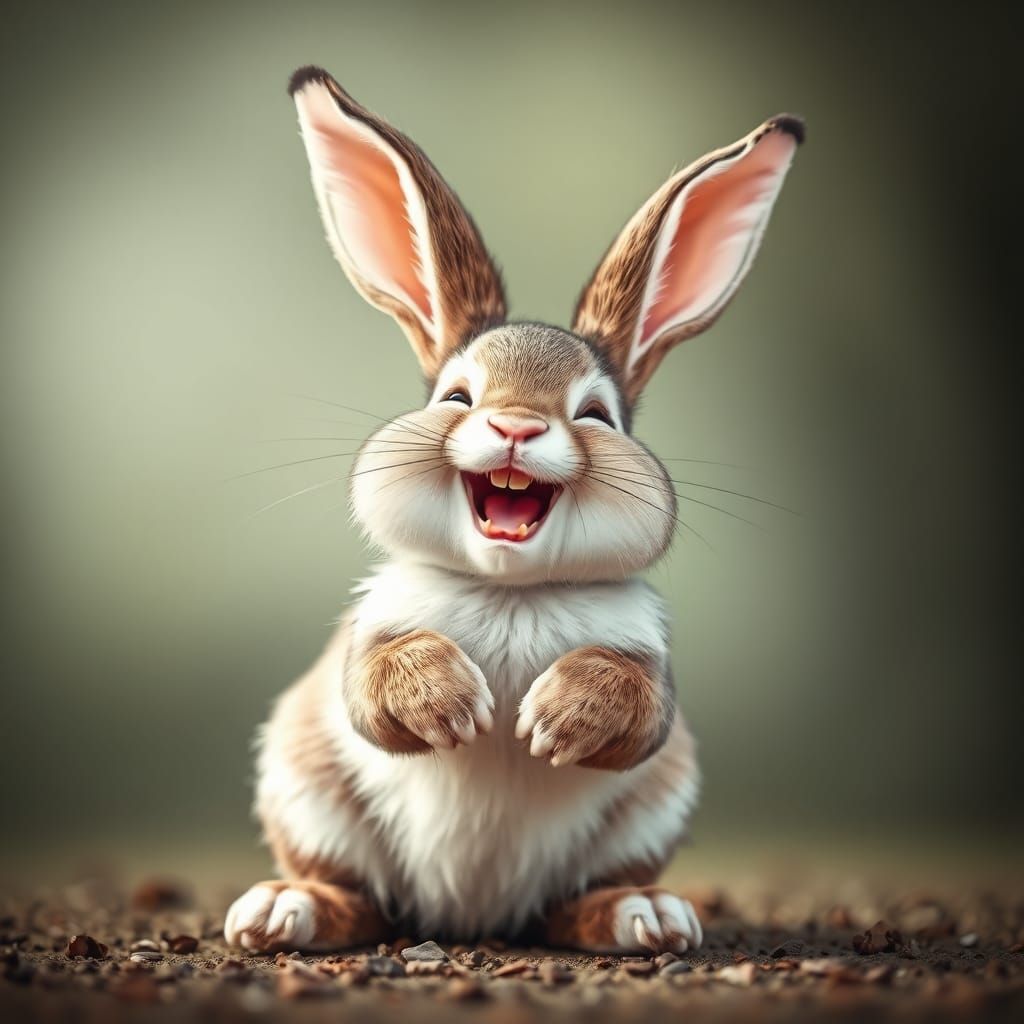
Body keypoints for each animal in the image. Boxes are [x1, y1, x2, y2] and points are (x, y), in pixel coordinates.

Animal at [224, 66, 802, 955]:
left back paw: (646, 916)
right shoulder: (370, 641)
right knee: (356, 895)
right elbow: (374, 691)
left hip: (650, 813)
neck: (510, 589)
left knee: (575, 903)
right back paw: (284, 910)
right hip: (305, 790)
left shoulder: (649, 671)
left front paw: (551, 723)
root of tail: (474, 915)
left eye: (597, 415)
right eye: (456, 397)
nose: (516, 428)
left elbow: (637, 708)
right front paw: (458, 707)